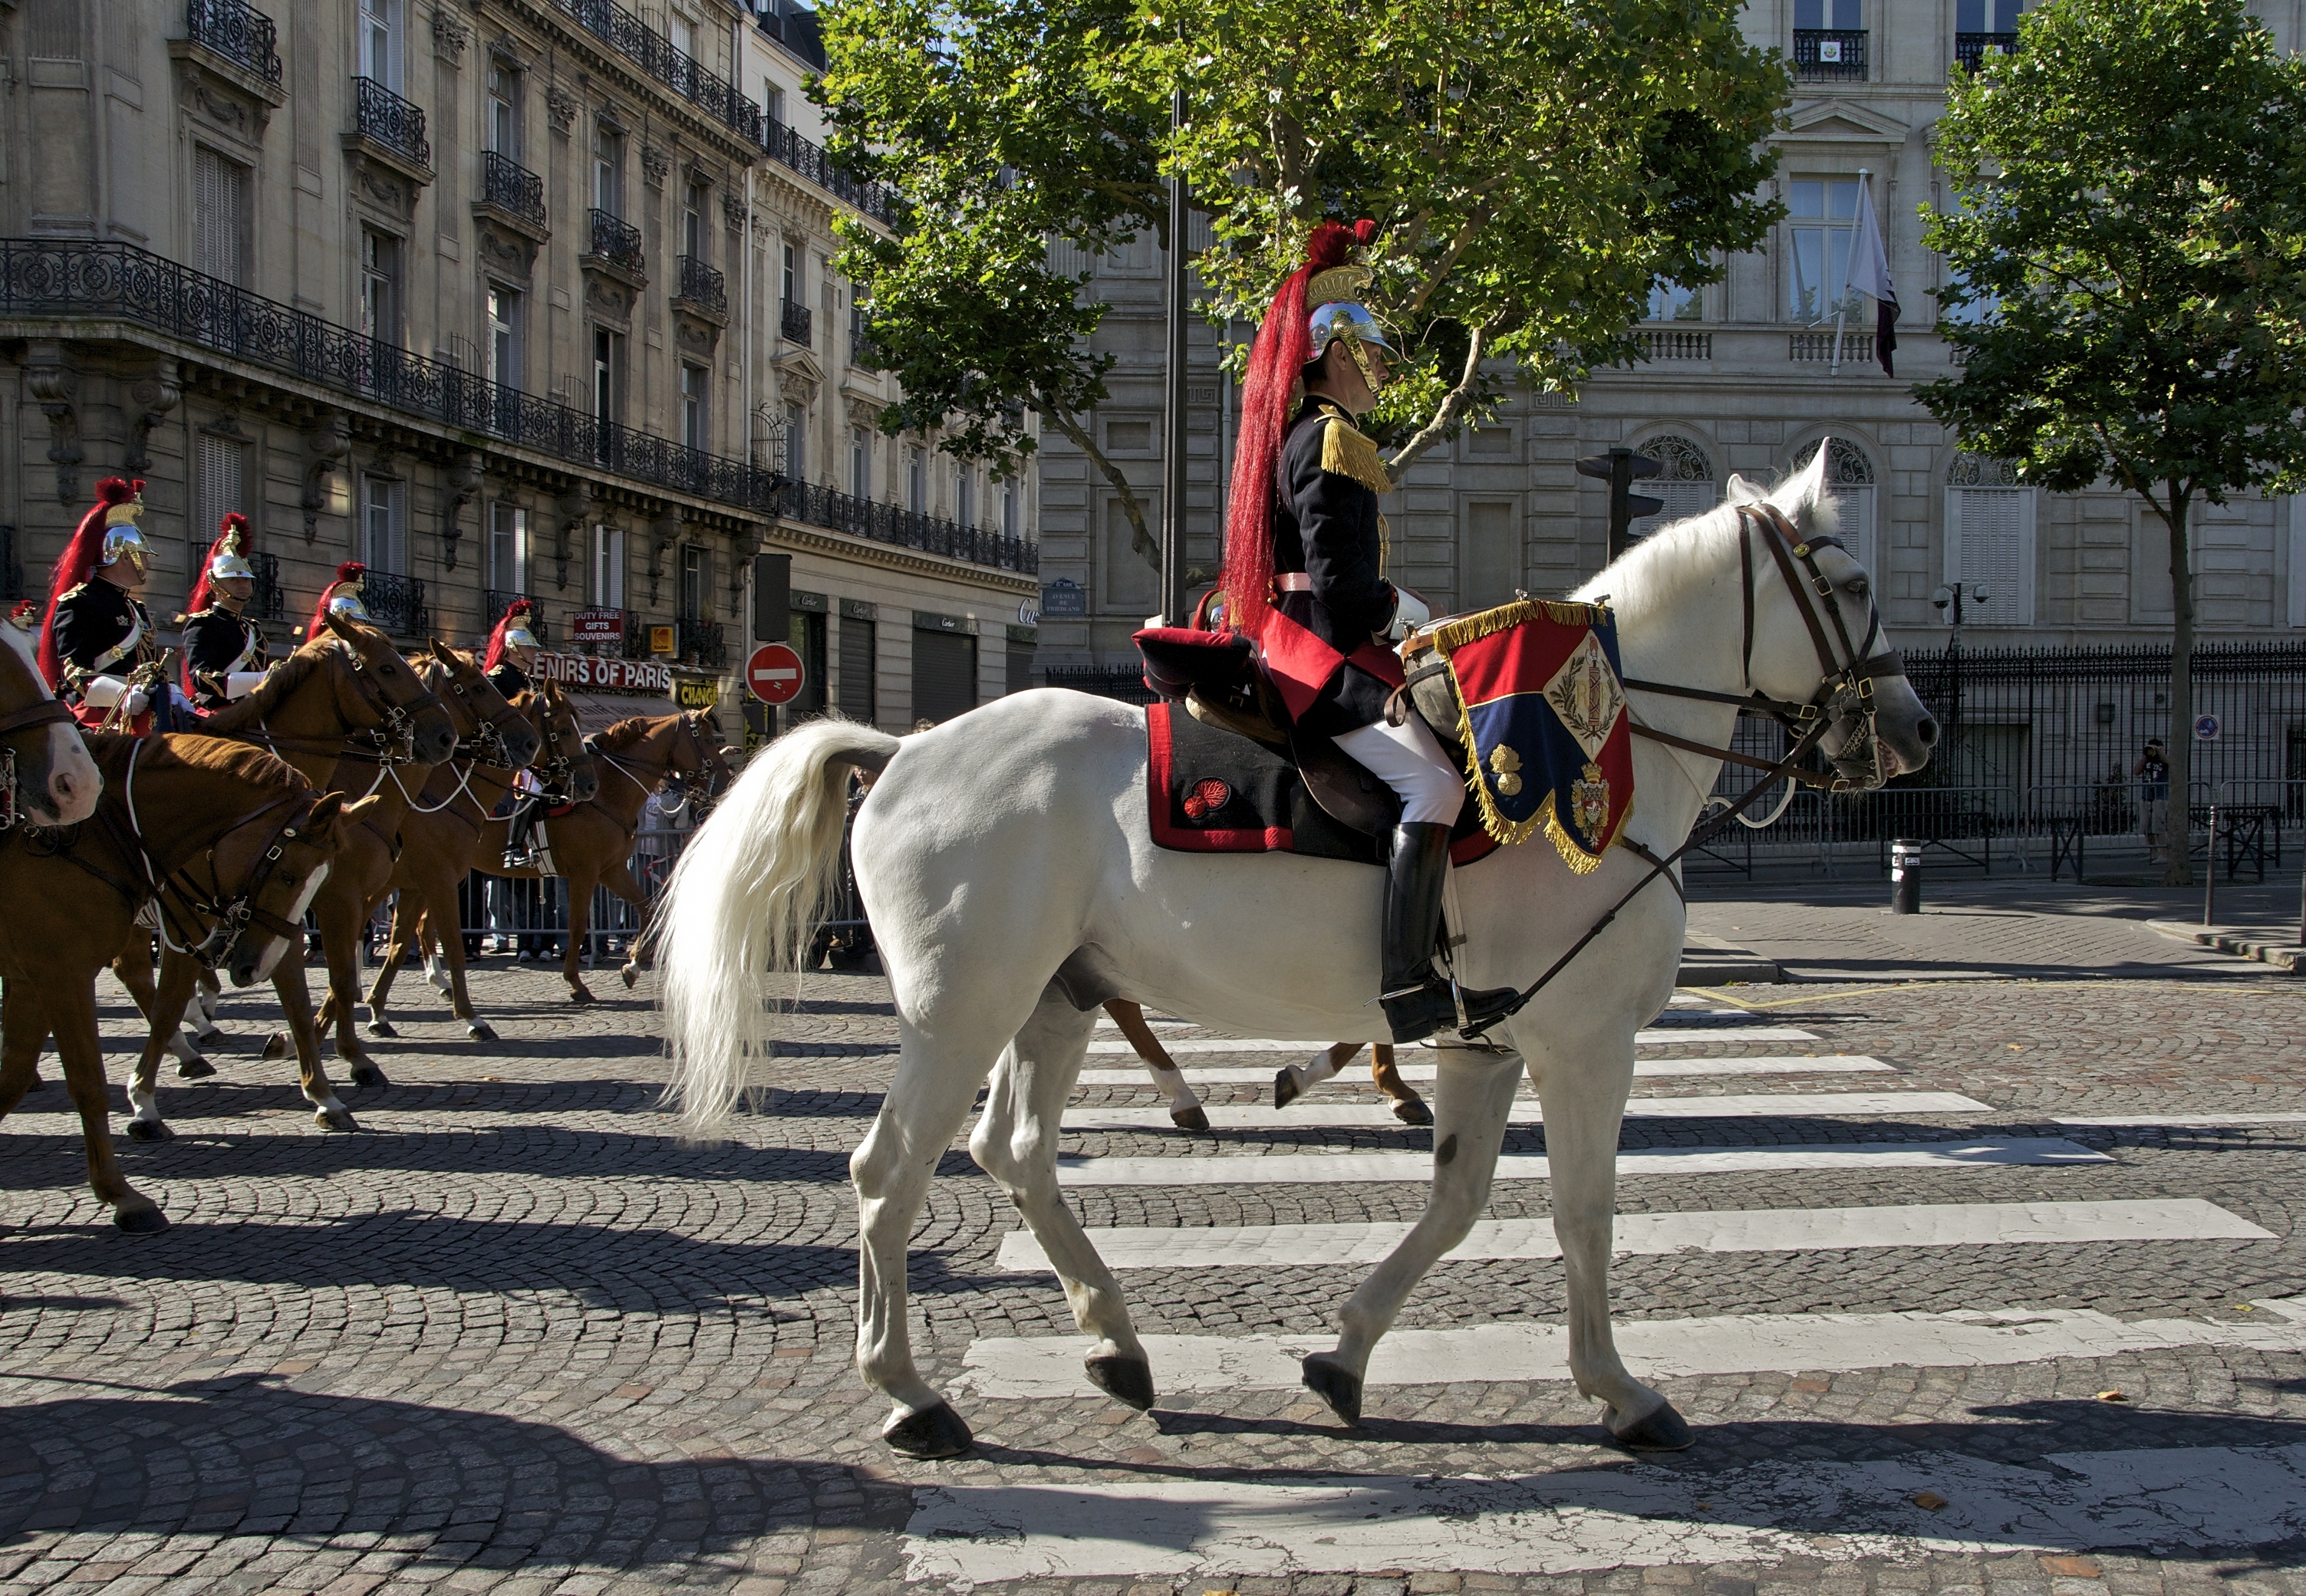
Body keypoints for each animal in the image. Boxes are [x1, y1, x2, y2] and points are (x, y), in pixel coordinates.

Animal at [1, 733, 368, 1236]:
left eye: (318, 879)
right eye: (289, 874)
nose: (250, 970)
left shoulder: (34, 977)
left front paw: (324, 1093)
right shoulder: (67, 970)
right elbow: (110, 1063)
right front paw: (136, 1140)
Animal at [659, 449, 1937, 1457]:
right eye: (1852, 583)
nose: (1916, 729)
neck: (1590, 753)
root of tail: (907, 748)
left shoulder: (1487, 1043)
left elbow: (1459, 1203)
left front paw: (1344, 1355)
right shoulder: (1585, 1048)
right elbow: (1583, 1214)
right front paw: (1619, 1392)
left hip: (1056, 998)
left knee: (1010, 1151)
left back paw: (1114, 1341)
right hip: (960, 1010)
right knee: (890, 1171)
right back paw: (910, 1395)